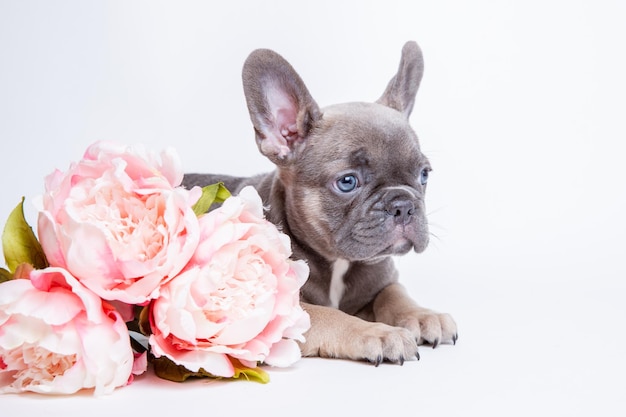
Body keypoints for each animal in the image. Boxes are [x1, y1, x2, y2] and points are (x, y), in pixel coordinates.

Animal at [183, 40, 456, 362]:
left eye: (424, 174)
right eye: (347, 181)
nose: (403, 205)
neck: (338, 262)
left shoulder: (385, 279)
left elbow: (394, 293)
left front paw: (423, 314)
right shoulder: (286, 314)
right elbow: (331, 316)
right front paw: (377, 332)